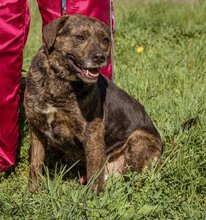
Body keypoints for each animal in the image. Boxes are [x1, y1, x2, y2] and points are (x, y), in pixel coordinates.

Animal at [24, 14, 163, 192]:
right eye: (79, 37)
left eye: (105, 40)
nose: (99, 57)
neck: (60, 81)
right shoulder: (36, 129)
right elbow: (35, 166)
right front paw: (32, 193)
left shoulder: (92, 135)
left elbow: (94, 175)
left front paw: (92, 199)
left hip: (138, 139)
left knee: (134, 183)